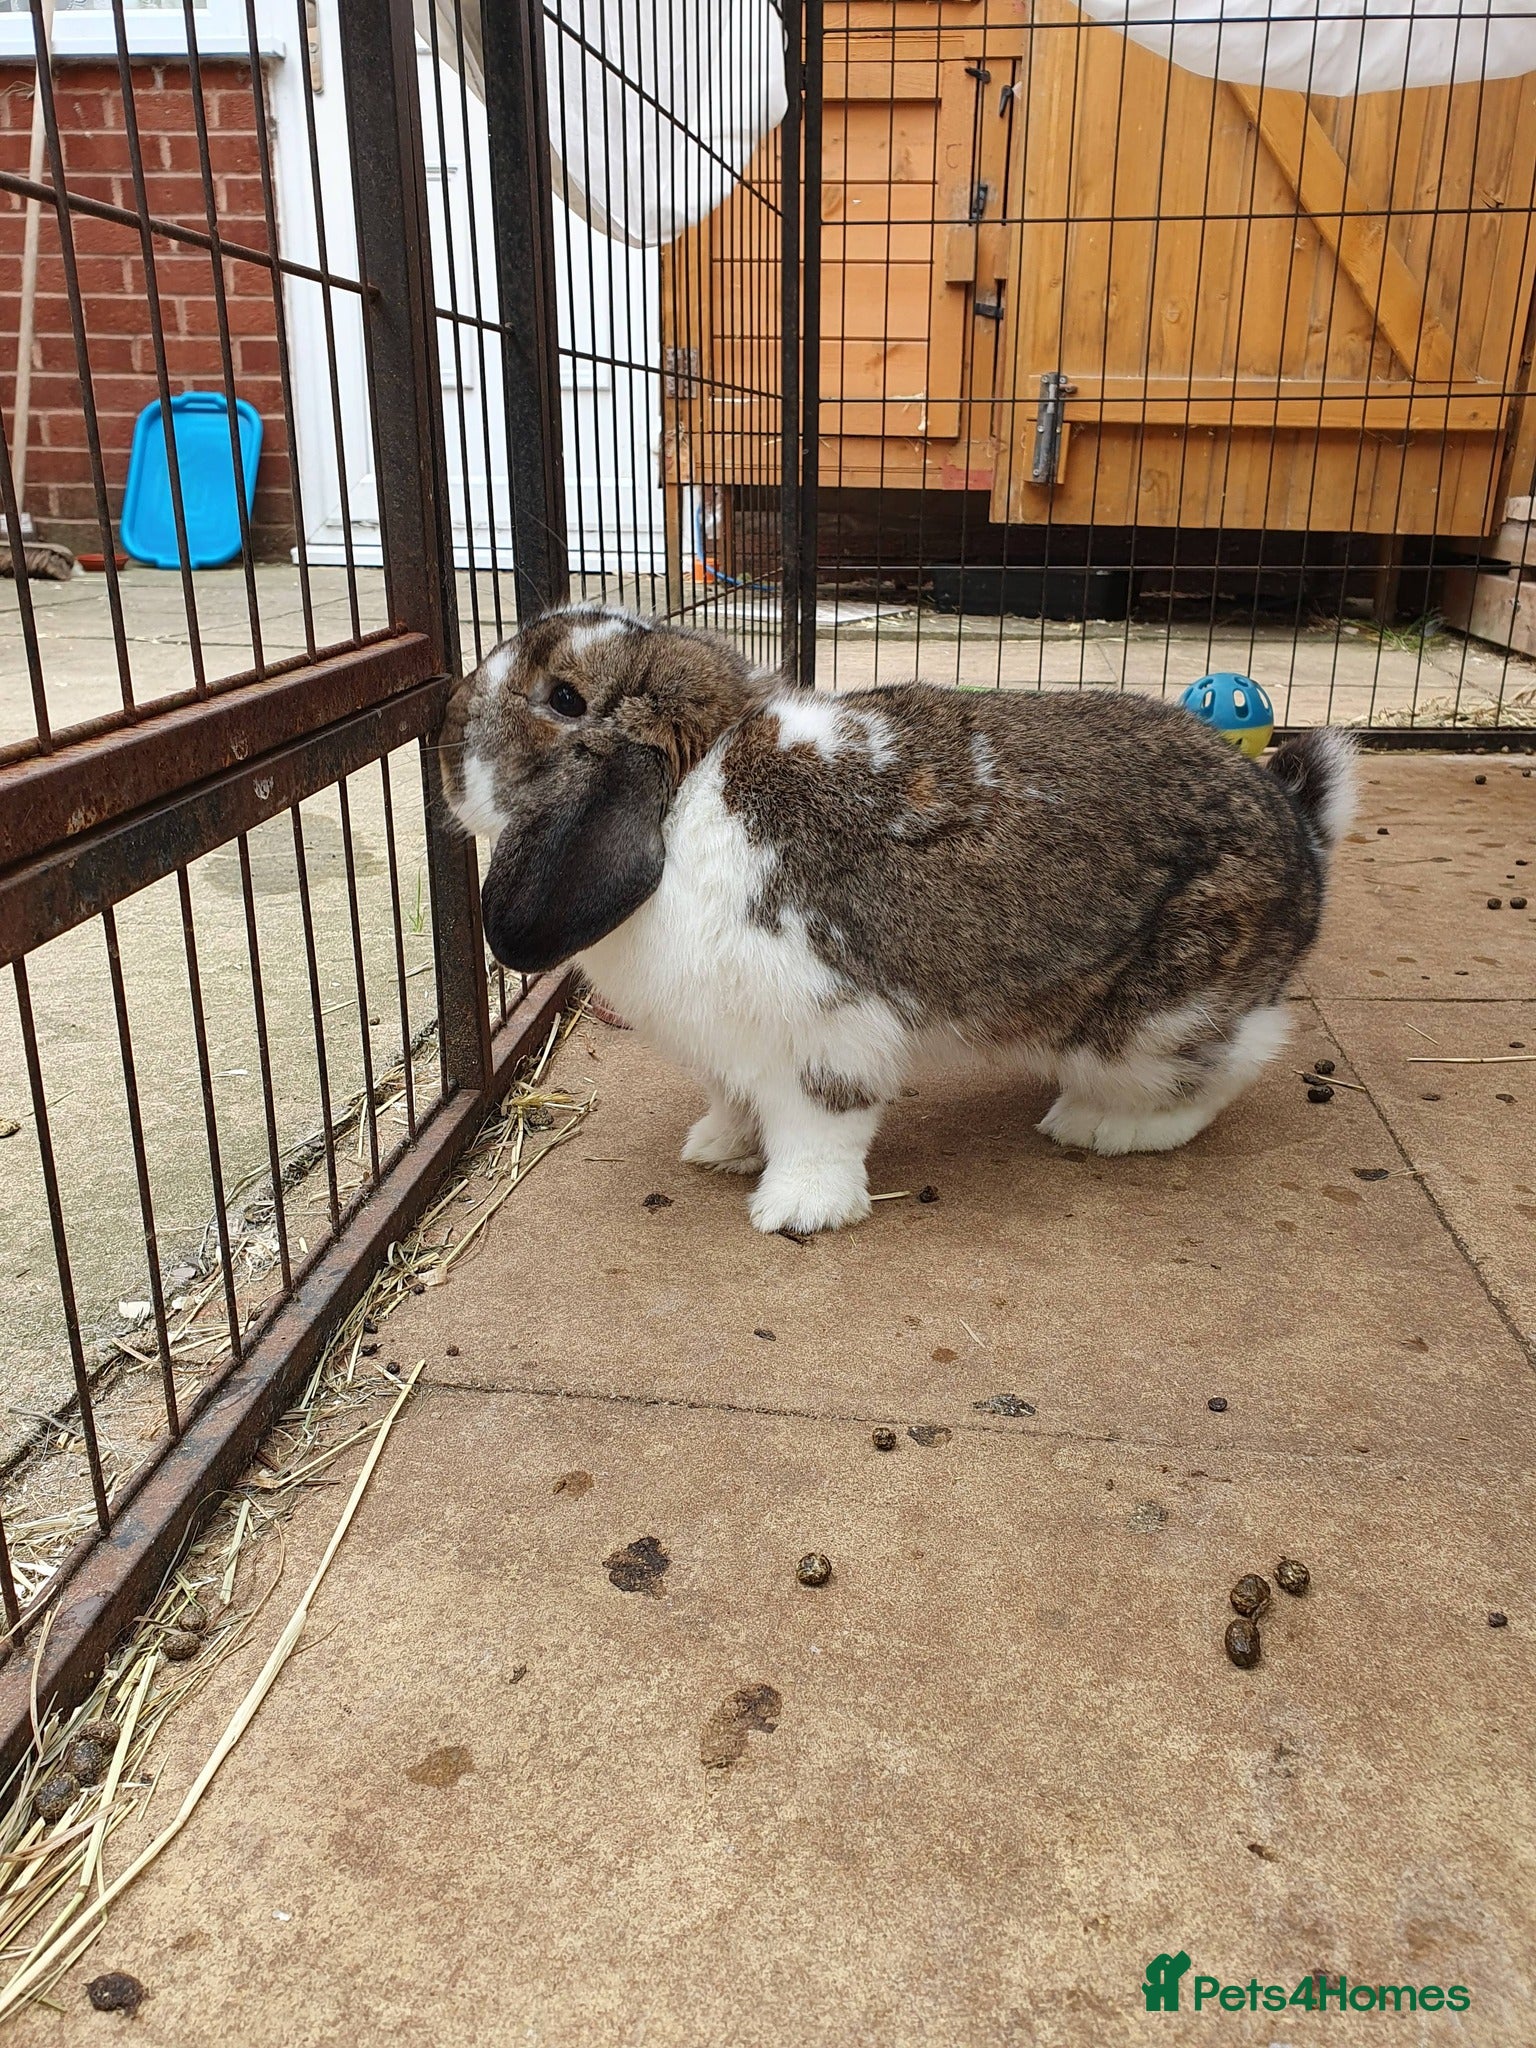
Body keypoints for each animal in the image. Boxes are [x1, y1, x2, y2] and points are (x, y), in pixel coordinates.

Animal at [440, 600, 1356, 1235]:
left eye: (563, 697)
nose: (448, 710)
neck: (687, 794)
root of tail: (1302, 828)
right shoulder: (729, 1048)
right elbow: (736, 1103)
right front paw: (718, 1148)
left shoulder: (823, 1034)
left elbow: (818, 1130)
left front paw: (796, 1211)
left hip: (1156, 1020)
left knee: (1230, 1064)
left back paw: (1104, 1128)